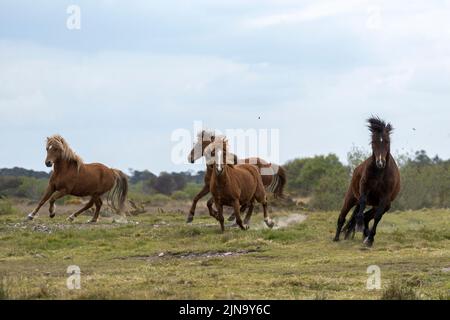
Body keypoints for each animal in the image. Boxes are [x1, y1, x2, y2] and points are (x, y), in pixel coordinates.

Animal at [334, 118, 400, 248]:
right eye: (373, 142)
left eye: (387, 142)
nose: (380, 163)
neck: (380, 173)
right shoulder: (364, 189)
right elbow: (363, 202)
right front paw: (359, 225)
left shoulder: (384, 198)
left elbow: (377, 217)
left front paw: (369, 240)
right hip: (351, 198)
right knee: (343, 216)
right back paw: (337, 237)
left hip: (384, 205)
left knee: (368, 216)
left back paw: (366, 235)